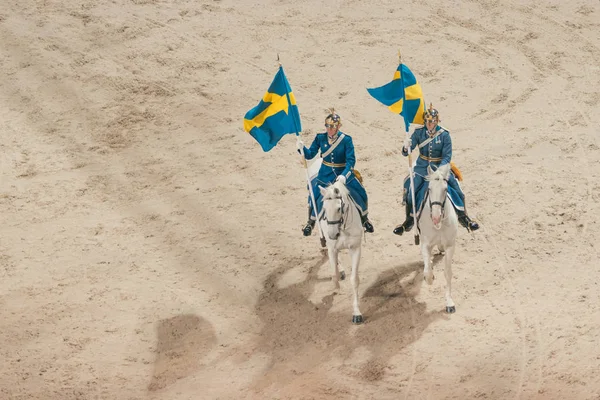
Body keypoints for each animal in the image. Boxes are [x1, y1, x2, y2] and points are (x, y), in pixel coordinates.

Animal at [318, 183, 366, 324]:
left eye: (339, 208)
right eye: (324, 208)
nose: (332, 234)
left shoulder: (355, 248)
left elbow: (354, 279)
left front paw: (356, 313)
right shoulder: (332, 248)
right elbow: (335, 274)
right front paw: (336, 289)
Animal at [418, 162, 460, 312]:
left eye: (445, 189)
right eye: (429, 189)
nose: (436, 218)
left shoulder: (450, 246)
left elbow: (448, 272)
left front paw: (449, 302)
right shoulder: (425, 244)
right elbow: (427, 271)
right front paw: (429, 278)